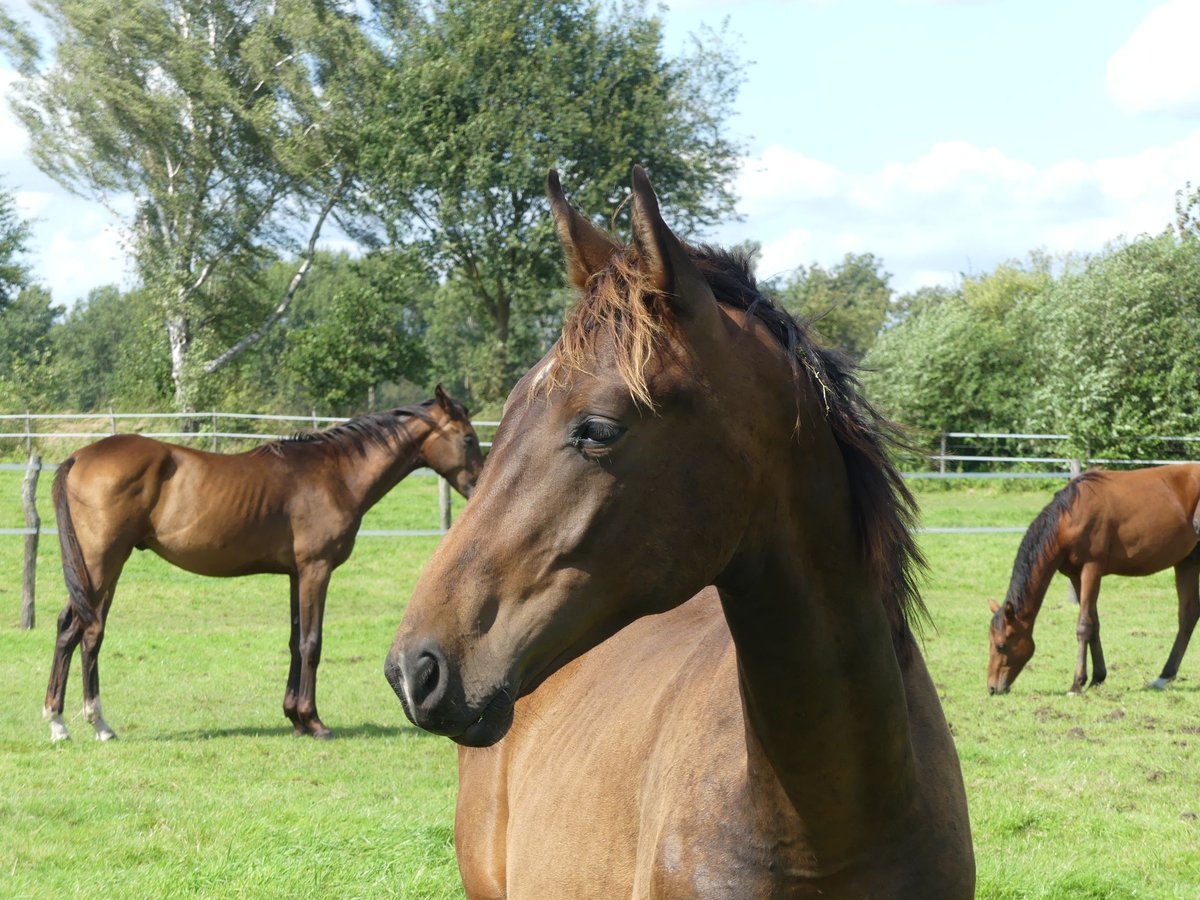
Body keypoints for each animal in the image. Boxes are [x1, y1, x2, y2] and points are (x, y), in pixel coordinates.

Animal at [42, 388, 482, 748]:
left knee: (70, 629)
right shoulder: (316, 570)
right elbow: (312, 643)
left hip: (99, 570)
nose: (479, 488)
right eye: (468, 438)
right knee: (87, 632)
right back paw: (91, 723)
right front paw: (314, 722)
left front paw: (295, 718)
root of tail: (79, 457)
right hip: (102, 564)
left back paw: (62, 722)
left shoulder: (295, 574)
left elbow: (294, 640)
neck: (335, 474)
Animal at [984, 465, 1200, 696]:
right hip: (1187, 562)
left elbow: (1084, 625)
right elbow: (1094, 623)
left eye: (1001, 645)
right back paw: (1164, 676)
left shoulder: (1091, 569)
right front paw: (1097, 677)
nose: (992, 688)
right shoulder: (1076, 576)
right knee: (1188, 615)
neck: (1070, 517)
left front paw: (1077, 683)